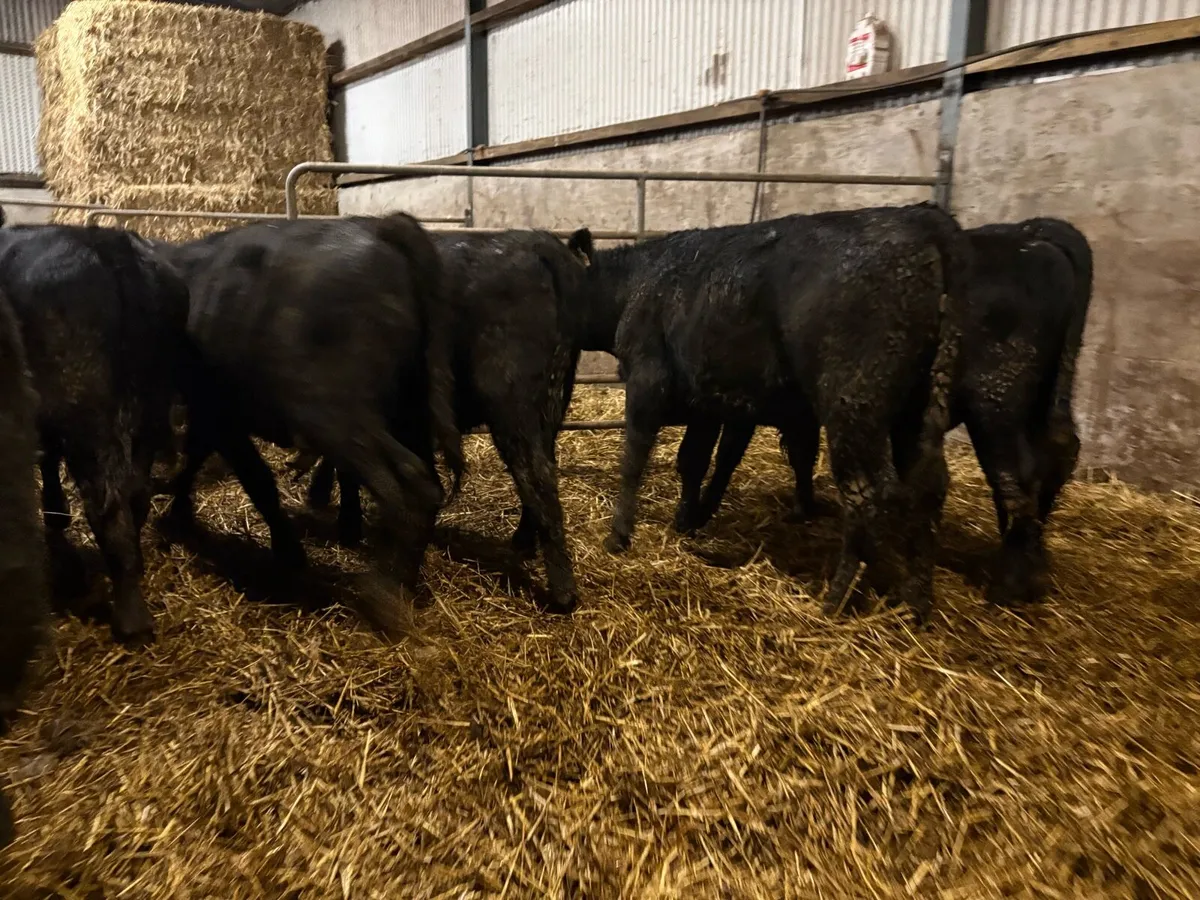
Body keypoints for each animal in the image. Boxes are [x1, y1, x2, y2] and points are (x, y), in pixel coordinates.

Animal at [0, 224, 190, 644]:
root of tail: (109, 244)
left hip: (86, 410)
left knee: (108, 503)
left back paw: (130, 620)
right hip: (153, 397)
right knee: (136, 490)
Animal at [157, 214, 463, 632]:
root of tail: (377, 227)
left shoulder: (221, 414)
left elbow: (256, 480)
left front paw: (288, 553)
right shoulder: (210, 410)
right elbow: (197, 457)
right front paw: (178, 513)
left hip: (335, 415)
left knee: (411, 486)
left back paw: (383, 598)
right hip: (409, 407)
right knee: (426, 484)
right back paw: (404, 581)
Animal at [293, 228, 593, 614]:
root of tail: (540, 244)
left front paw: (348, 526)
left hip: (512, 401)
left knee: (537, 475)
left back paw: (562, 594)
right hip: (553, 402)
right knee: (544, 469)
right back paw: (524, 543)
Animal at [564, 203, 971, 622]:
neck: (634, 285)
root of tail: (925, 217)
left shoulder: (648, 380)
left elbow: (633, 460)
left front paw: (618, 535)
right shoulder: (703, 400)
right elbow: (693, 460)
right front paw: (685, 522)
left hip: (855, 402)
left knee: (867, 491)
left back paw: (837, 598)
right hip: (917, 408)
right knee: (929, 485)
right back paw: (917, 600)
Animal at [672, 217, 1092, 608]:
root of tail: (1031, 234)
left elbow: (725, 455)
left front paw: (700, 512)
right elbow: (799, 453)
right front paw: (803, 506)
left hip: (995, 401)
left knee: (1017, 474)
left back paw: (1010, 581)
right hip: (1039, 399)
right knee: (1055, 455)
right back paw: (1030, 564)